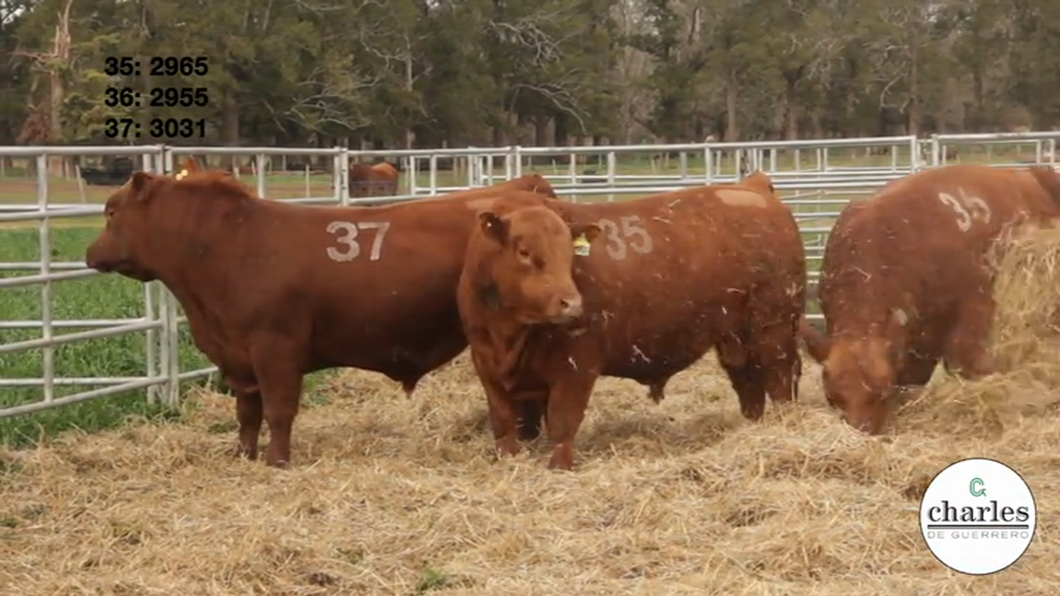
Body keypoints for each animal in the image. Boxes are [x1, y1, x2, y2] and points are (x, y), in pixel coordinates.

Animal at [84, 168, 555, 468]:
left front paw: (277, 461)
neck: (228, 245)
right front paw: (243, 455)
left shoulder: (275, 349)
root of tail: (525, 190)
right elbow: (247, 413)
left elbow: (278, 410)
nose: (89, 253)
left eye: (111, 211)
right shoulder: (240, 358)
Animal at [455, 171, 801, 468]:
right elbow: (503, 422)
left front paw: (559, 467)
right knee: (748, 383)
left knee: (779, 380)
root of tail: (753, 189)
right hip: (735, 339)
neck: (509, 335)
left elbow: (562, 423)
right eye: (524, 251)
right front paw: (508, 459)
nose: (571, 303)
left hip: (773, 329)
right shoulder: (486, 365)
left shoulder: (576, 367)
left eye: (569, 252)